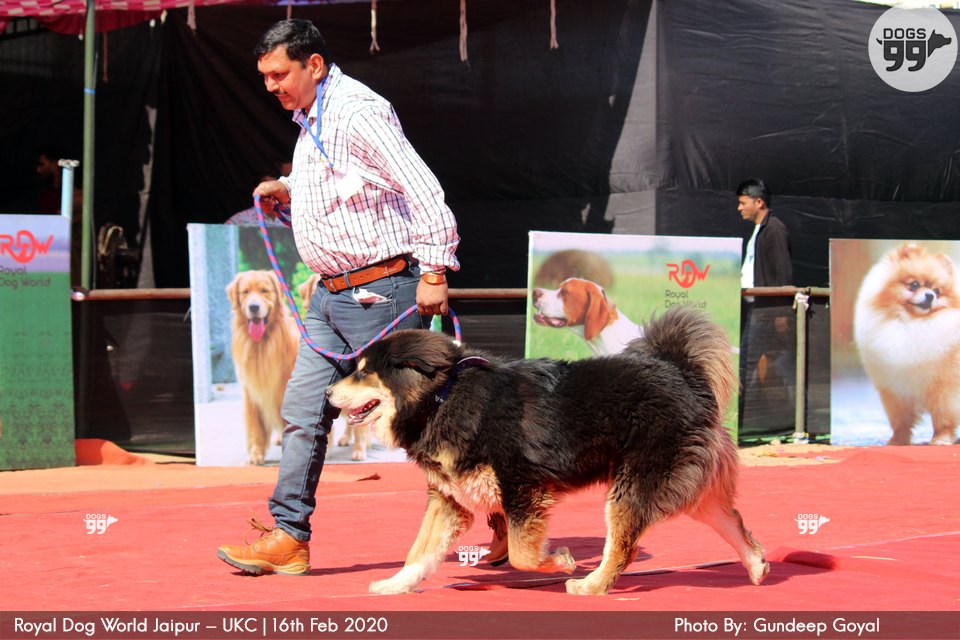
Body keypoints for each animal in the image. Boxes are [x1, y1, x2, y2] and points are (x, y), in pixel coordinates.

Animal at [227, 270, 299, 465]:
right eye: (245, 292)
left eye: (264, 291)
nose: (253, 307)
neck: (262, 345)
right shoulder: (252, 394)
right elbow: (256, 427)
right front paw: (256, 454)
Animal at [326, 305, 769, 595]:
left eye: (363, 372)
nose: (328, 393)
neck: (443, 398)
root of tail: (683, 373)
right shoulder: (450, 498)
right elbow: (419, 551)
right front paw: (395, 585)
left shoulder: (521, 487)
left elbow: (522, 553)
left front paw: (559, 561)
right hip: (684, 485)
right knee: (732, 521)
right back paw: (756, 564)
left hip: (633, 487)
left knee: (623, 547)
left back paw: (591, 585)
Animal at [854, 242, 960, 446]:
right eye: (914, 285)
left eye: (937, 291)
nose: (930, 296)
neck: (911, 324)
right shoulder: (894, 391)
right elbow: (900, 422)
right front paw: (897, 441)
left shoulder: (944, 390)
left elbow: (943, 419)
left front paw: (940, 440)